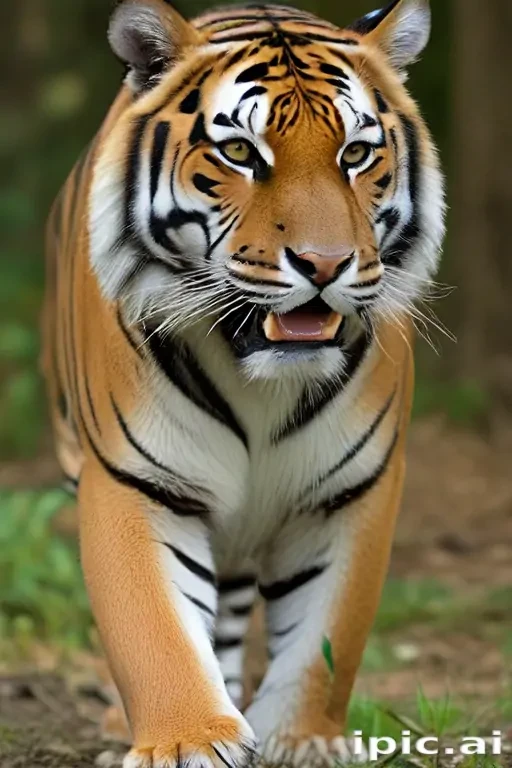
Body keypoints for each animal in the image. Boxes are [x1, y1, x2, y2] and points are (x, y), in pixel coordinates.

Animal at [42, 0, 445, 765]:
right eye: (240, 154)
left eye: (355, 155)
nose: (325, 263)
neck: (259, 375)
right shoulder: (134, 479)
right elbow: (154, 627)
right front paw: (188, 741)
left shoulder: (351, 490)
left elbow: (327, 636)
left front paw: (302, 739)